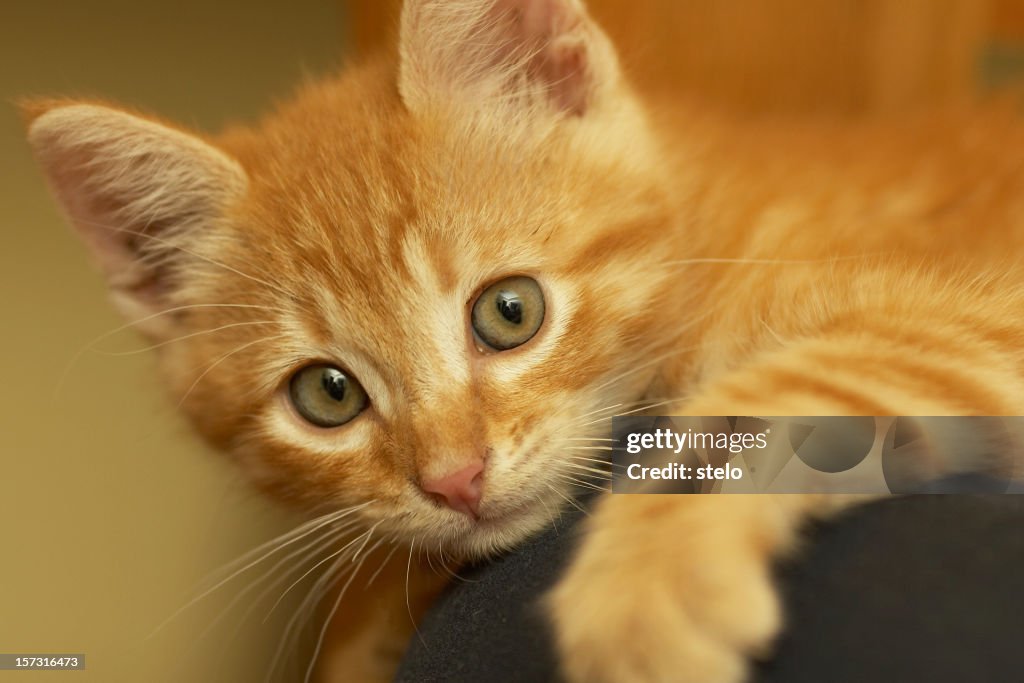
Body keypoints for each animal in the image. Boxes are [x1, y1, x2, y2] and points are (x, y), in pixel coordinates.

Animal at [24, 1, 1024, 683]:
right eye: (327, 395)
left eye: (510, 312)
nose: (456, 479)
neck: (699, 230)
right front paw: (371, 625)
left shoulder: (988, 302)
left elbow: (810, 375)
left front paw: (648, 587)